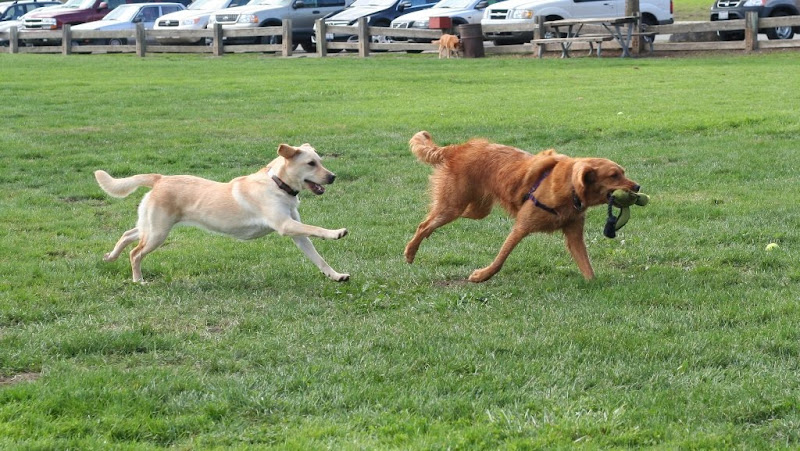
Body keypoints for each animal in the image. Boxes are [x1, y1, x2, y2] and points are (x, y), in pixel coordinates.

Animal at [404, 131, 640, 284]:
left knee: (437, 218)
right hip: (453, 206)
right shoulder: (521, 227)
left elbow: (587, 266)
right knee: (424, 224)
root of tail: (459, 148)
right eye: (614, 175)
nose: (638, 186)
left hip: (476, 210)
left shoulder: (574, 235)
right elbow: (500, 259)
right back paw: (410, 252)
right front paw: (482, 276)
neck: (569, 188)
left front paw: (594, 283)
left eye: (623, 172)